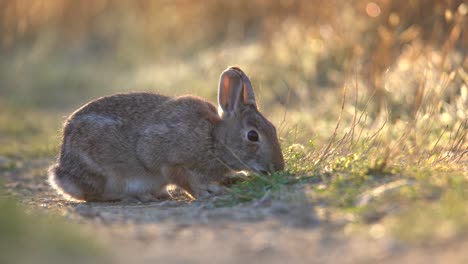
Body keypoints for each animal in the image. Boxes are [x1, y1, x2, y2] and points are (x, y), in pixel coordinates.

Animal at [47, 66, 284, 202]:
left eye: (273, 128)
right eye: (253, 136)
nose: (279, 167)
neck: (213, 139)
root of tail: (61, 170)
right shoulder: (165, 157)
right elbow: (180, 177)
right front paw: (205, 193)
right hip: (100, 170)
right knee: (94, 195)